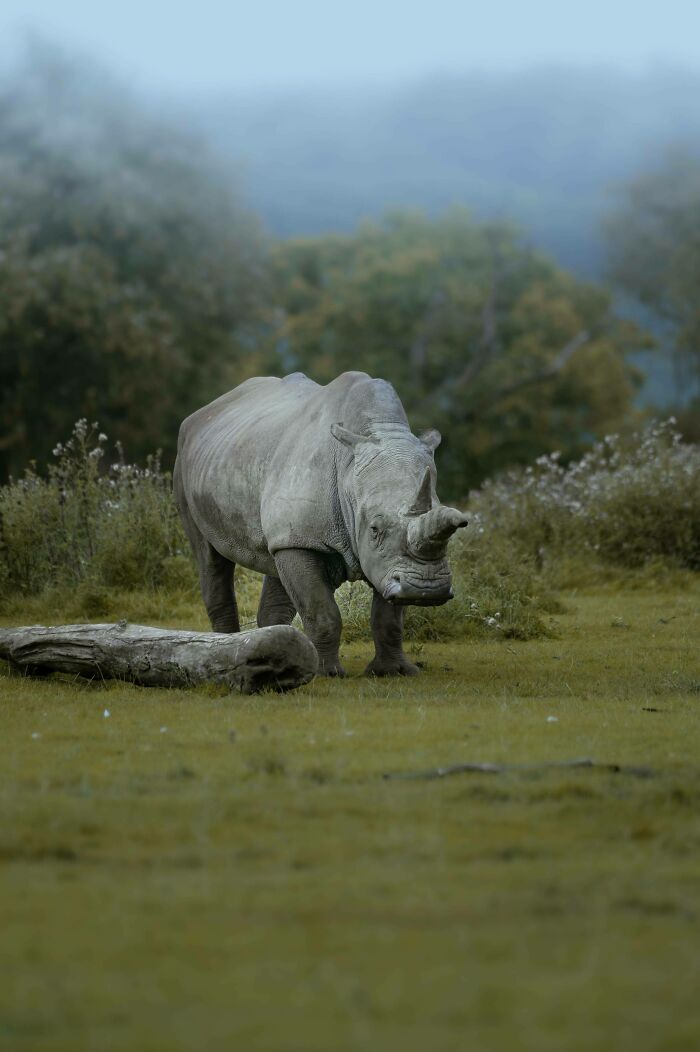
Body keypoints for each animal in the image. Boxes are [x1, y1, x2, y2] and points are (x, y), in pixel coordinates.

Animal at [173, 371, 468, 676]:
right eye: (375, 529)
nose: (426, 589)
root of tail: (205, 411)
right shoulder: (310, 540)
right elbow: (322, 612)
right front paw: (326, 674)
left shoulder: (389, 567)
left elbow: (389, 617)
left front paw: (394, 672)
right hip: (185, 462)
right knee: (209, 557)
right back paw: (226, 652)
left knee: (275, 553)